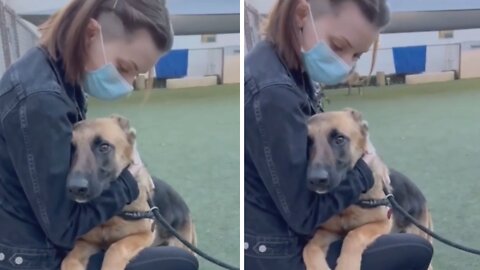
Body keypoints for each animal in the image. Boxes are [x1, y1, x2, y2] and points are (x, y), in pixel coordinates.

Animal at [61, 115, 196, 270]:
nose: (75, 188)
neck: (109, 218)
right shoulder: (86, 242)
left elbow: (116, 248)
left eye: (104, 147)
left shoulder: (143, 235)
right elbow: (69, 259)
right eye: (71, 148)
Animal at [304, 108, 436, 268]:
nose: (315, 180)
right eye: (307, 143)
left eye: (339, 139)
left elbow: (353, 234)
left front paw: (347, 265)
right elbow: (309, 247)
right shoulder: (327, 230)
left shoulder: (382, 223)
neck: (347, 205)